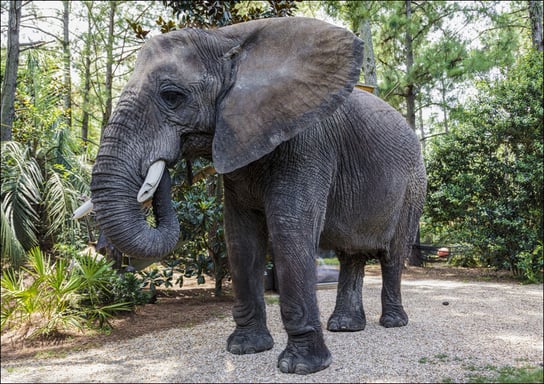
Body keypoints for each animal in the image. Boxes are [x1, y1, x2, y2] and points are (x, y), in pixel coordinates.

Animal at [85, 18, 428, 376]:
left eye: (172, 96)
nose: (161, 166)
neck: (225, 39)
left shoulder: (308, 142)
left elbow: (289, 229)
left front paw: (300, 366)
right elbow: (240, 236)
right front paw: (246, 349)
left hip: (414, 187)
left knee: (393, 255)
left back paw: (392, 323)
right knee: (351, 255)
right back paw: (345, 327)